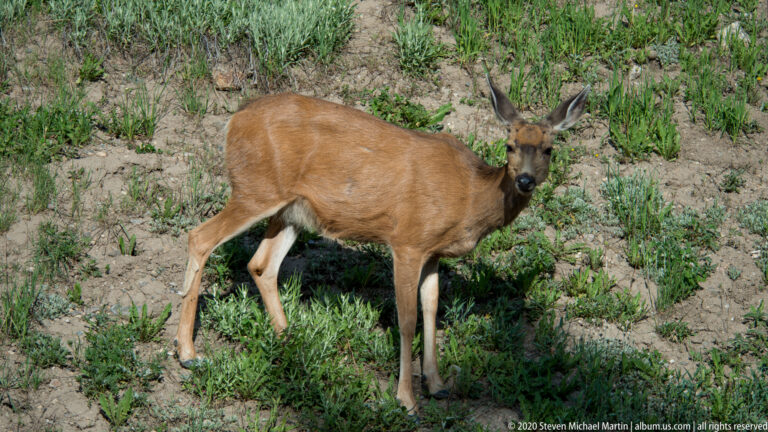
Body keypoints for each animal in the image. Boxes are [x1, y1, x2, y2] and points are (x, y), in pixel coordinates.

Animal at [174, 74, 589, 413]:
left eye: (549, 149)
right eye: (509, 145)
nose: (524, 181)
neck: (471, 195)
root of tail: (234, 118)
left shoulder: (434, 252)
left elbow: (431, 308)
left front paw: (437, 384)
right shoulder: (407, 241)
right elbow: (406, 320)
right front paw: (406, 399)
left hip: (290, 209)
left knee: (261, 264)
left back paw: (292, 343)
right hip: (255, 189)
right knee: (200, 237)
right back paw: (189, 353)